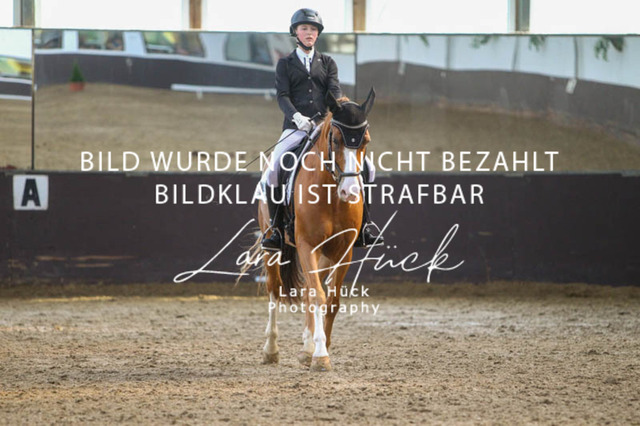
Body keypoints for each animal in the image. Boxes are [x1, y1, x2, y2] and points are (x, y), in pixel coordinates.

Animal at [243, 89, 376, 371]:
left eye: (365, 141)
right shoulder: (306, 245)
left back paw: (306, 347)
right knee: (275, 289)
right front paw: (321, 355)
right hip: (274, 247)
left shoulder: (344, 250)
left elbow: (331, 300)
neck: (331, 195)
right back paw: (271, 350)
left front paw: (320, 347)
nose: (350, 192)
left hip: (323, 255)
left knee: (306, 291)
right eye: (335, 139)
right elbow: (317, 295)